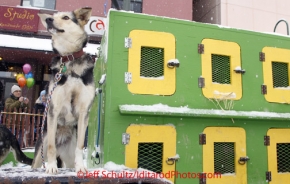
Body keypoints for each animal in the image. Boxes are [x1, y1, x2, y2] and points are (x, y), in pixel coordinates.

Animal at [31, 7, 95, 174]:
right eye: (52, 16)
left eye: (66, 17)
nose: (48, 20)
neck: (69, 59)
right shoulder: (54, 109)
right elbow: (51, 147)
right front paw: (52, 166)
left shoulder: (84, 111)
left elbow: (81, 146)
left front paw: (81, 167)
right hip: (41, 148)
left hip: (69, 153)